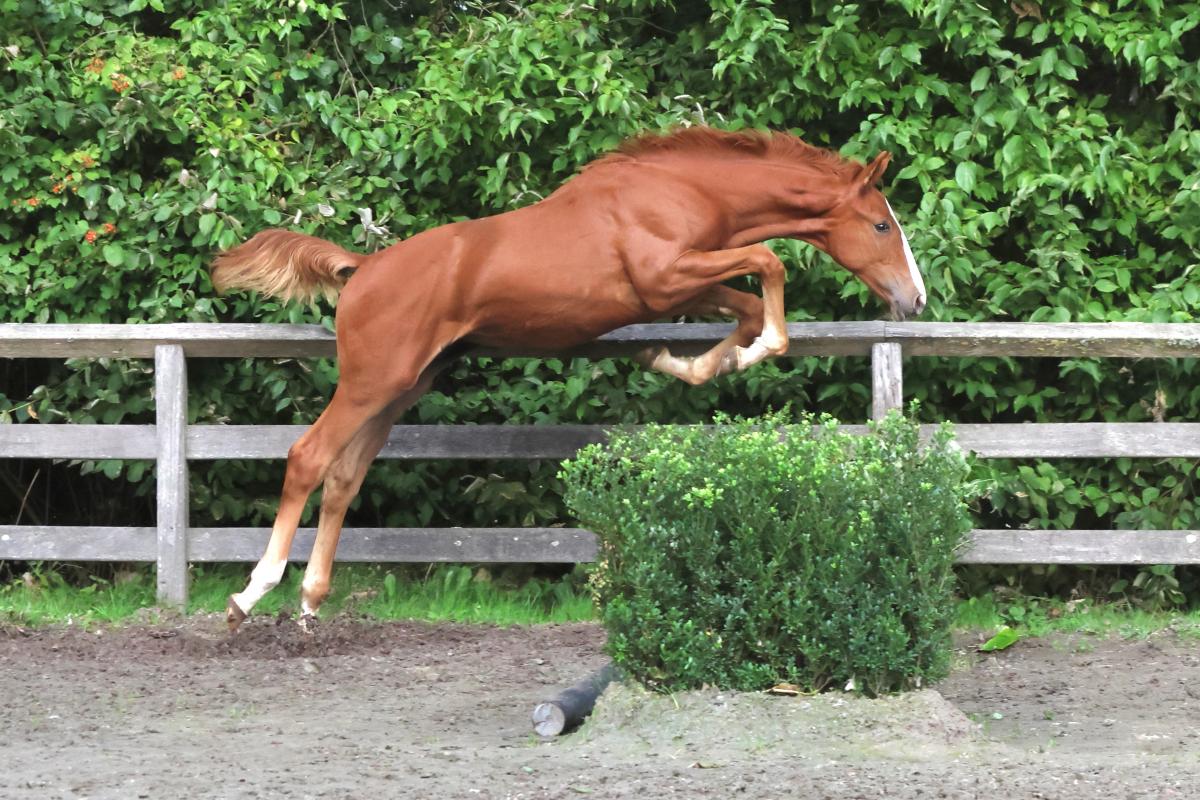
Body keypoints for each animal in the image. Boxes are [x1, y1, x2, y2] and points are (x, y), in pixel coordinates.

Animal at [211, 126, 926, 632]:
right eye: (880, 224)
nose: (914, 299)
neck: (681, 192)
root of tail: (363, 269)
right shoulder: (665, 277)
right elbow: (770, 267)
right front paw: (726, 357)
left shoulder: (683, 284)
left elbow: (749, 306)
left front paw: (690, 362)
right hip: (370, 381)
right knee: (308, 457)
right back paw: (251, 594)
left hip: (402, 388)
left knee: (343, 478)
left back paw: (311, 600)